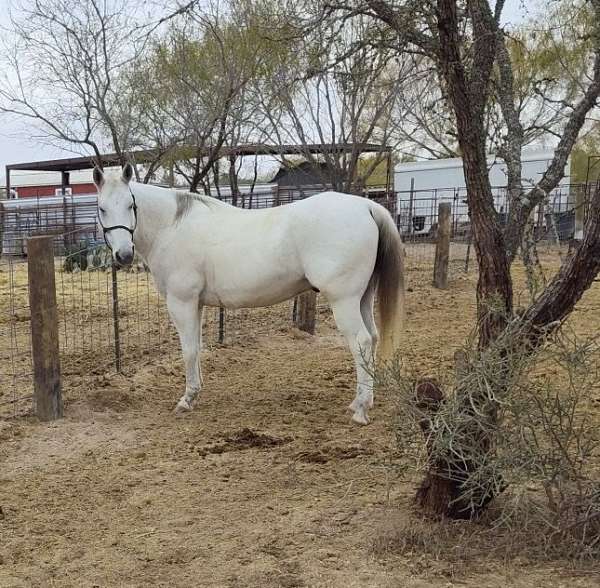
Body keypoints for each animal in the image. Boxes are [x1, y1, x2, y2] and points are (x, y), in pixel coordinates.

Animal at [94, 163, 406, 424]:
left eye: (131, 204)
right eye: (101, 208)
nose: (123, 255)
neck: (172, 227)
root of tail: (365, 206)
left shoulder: (181, 302)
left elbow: (188, 350)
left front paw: (187, 399)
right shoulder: (196, 303)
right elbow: (197, 348)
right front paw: (196, 392)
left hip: (344, 300)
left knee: (361, 341)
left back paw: (361, 409)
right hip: (362, 298)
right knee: (373, 337)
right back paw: (362, 401)